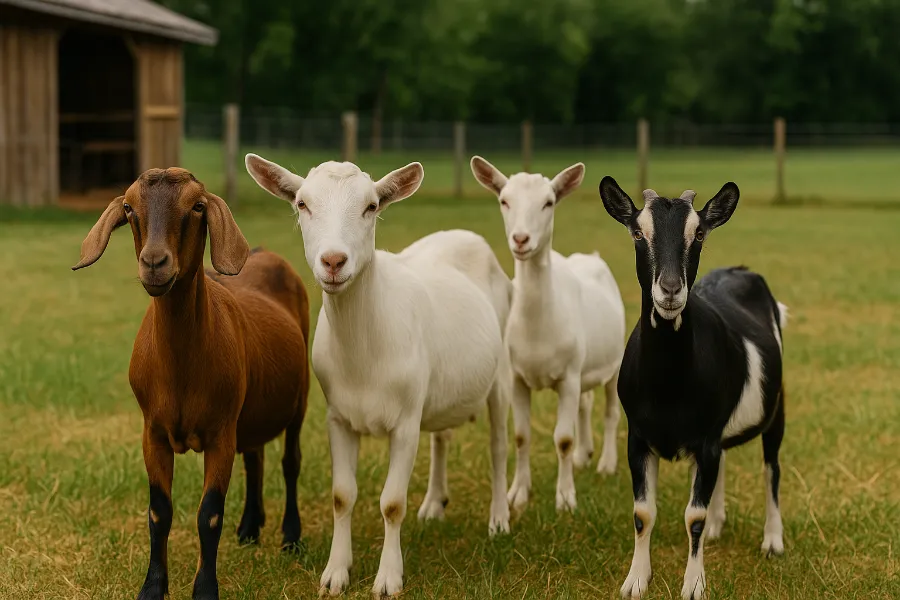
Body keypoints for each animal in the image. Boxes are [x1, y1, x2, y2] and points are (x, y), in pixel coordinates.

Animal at [72, 168, 310, 600]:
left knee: (290, 462)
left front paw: (205, 590)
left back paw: (291, 537)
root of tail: (266, 253)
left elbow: (209, 515)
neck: (181, 369)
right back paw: (250, 528)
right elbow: (158, 512)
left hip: (299, 399)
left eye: (197, 207)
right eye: (128, 207)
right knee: (255, 457)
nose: (154, 263)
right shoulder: (152, 432)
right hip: (250, 411)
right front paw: (152, 587)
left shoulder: (220, 433)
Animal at [245, 154, 512, 597]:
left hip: (502, 370)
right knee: (442, 436)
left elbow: (392, 502)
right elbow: (342, 495)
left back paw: (500, 519)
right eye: (302, 203)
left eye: (371, 206)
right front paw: (336, 573)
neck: (364, 355)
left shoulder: (404, 423)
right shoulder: (337, 418)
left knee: (498, 446)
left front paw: (388, 579)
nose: (334, 261)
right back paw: (434, 504)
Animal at [471, 156, 626, 513]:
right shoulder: (517, 377)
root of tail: (592, 257)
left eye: (549, 202)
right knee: (586, 403)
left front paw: (566, 498)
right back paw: (584, 455)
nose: (521, 239)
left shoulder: (568, 375)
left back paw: (606, 463)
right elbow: (521, 436)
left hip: (614, 360)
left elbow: (562, 439)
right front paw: (517, 493)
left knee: (610, 411)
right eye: (504, 200)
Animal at [598, 177, 787, 600]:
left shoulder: (705, 439)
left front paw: (694, 583)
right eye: (637, 232)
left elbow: (693, 516)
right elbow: (643, 512)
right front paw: (636, 579)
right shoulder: (638, 438)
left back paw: (772, 540)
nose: (670, 290)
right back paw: (719, 524)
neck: (668, 388)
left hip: (777, 409)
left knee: (772, 468)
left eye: (698, 234)